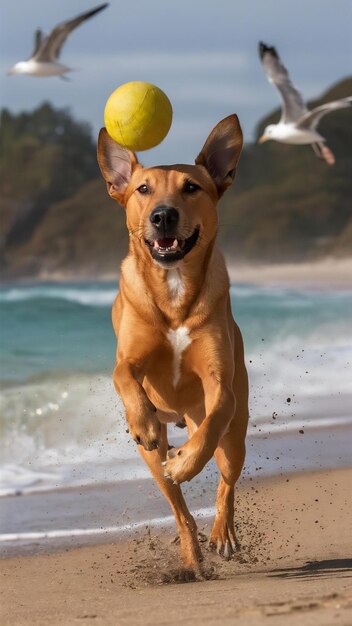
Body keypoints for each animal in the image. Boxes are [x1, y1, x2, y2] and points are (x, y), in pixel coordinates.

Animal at [97, 113, 249, 576]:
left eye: (192, 187)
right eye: (143, 189)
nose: (163, 216)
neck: (174, 287)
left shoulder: (220, 381)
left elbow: (217, 413)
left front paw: (187, 461)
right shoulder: (131, 357)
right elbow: (124, 374)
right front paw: (144, 421)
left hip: (235, 437)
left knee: (225, 479)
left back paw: (221, 534)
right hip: (150, 459)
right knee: (179, 509)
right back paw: (192, 559)